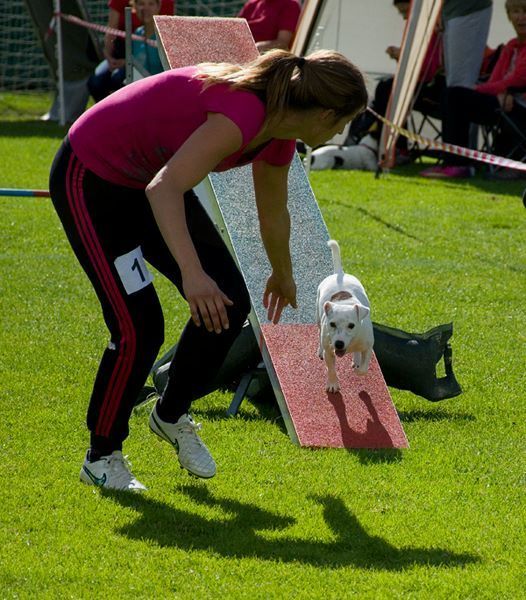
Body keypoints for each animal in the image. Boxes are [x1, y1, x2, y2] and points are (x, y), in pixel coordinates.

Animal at [316, 240, 374, 393]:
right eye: (332, 324)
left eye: (351, 325)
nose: (338, 343)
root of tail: (339, 273)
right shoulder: (330, 351)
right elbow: (331, 369)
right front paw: (332, 384)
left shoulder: (368, 346)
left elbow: (364, 368)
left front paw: (358, 369)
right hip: (318, 318)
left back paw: (356, 360)